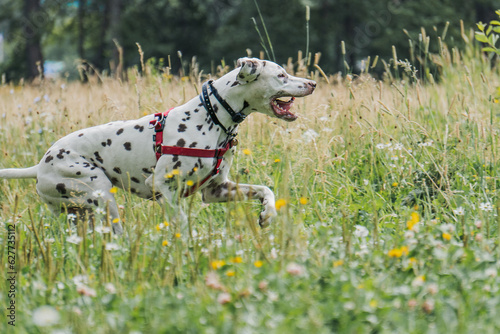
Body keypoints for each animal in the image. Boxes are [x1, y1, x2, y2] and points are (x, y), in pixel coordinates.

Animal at [0, 57, 316, 234]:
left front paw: (267, 214)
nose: (312, 83)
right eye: (281, 75)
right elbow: (183, 227)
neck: (210, 118)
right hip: (102, 195)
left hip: (82, 213)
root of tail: (40, 165)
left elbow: (265, 190)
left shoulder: (217, 191)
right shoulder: (164, 189)